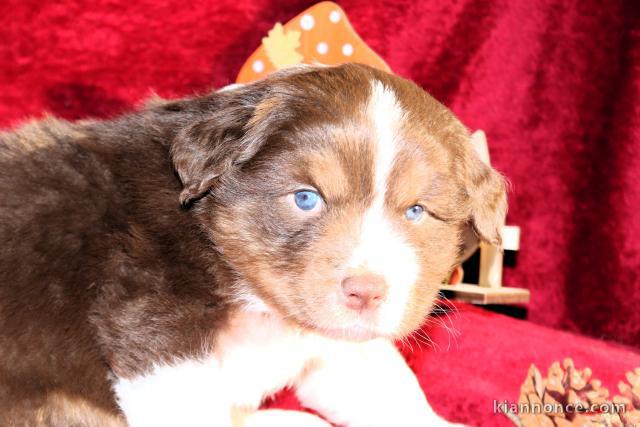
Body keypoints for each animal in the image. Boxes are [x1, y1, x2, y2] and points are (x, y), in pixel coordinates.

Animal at [0, 64, 504, 427]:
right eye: (306, 198)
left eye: (417, 211)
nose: (366, 292)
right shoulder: (153, 321)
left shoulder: (330, 342)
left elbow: (385, 382)